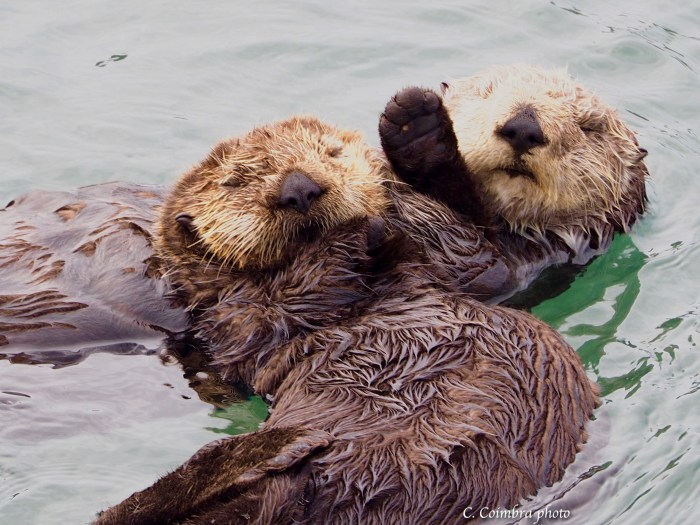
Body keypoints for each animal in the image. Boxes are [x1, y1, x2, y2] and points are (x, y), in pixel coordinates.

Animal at [94, 116, 599, 525]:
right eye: (235, 181)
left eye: (331, 154)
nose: (299, 188)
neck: (371, 287)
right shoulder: (231, 317)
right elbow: (276, 310)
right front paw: (357, 229)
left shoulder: (460, 266)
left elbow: (469, 251)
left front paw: (409, 152)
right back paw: (278, 445)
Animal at [380, 64, 649, 301]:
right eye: (486, 93)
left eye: (588, 127)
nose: (523, 128)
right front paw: (412, 119)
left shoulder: (492, 269)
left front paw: (419, 129)